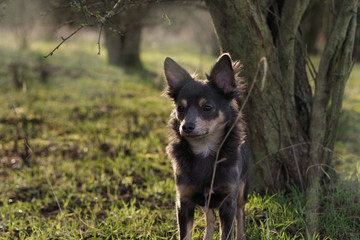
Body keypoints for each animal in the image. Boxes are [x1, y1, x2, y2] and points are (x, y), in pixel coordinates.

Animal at [165, 53, 249, 240]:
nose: (186, 127)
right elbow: (186, 234)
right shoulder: (184, 202)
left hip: (242, 189)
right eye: (180, 109)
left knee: (240, 213)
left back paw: (241, 235)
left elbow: (227, 232)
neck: (204, 150)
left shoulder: (228, 202)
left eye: (207, 108)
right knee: (210, 218)